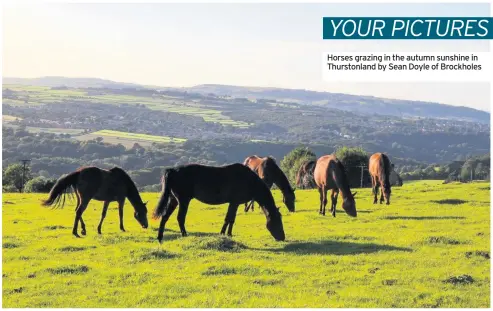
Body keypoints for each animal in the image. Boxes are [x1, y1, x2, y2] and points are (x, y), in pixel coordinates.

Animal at [153, 163, 284, 244]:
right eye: (278, 221)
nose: (282, 237)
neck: (249, 181)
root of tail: (172, 170)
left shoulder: (234, 203)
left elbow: (230, 219)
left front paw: (227, 234)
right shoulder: (234, 202)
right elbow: (229, 219)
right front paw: (224, 234)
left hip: (173, 200)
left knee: (164, 217)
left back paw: (160, 238)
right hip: (184, 200)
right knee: (180, 218)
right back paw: (185, 235)